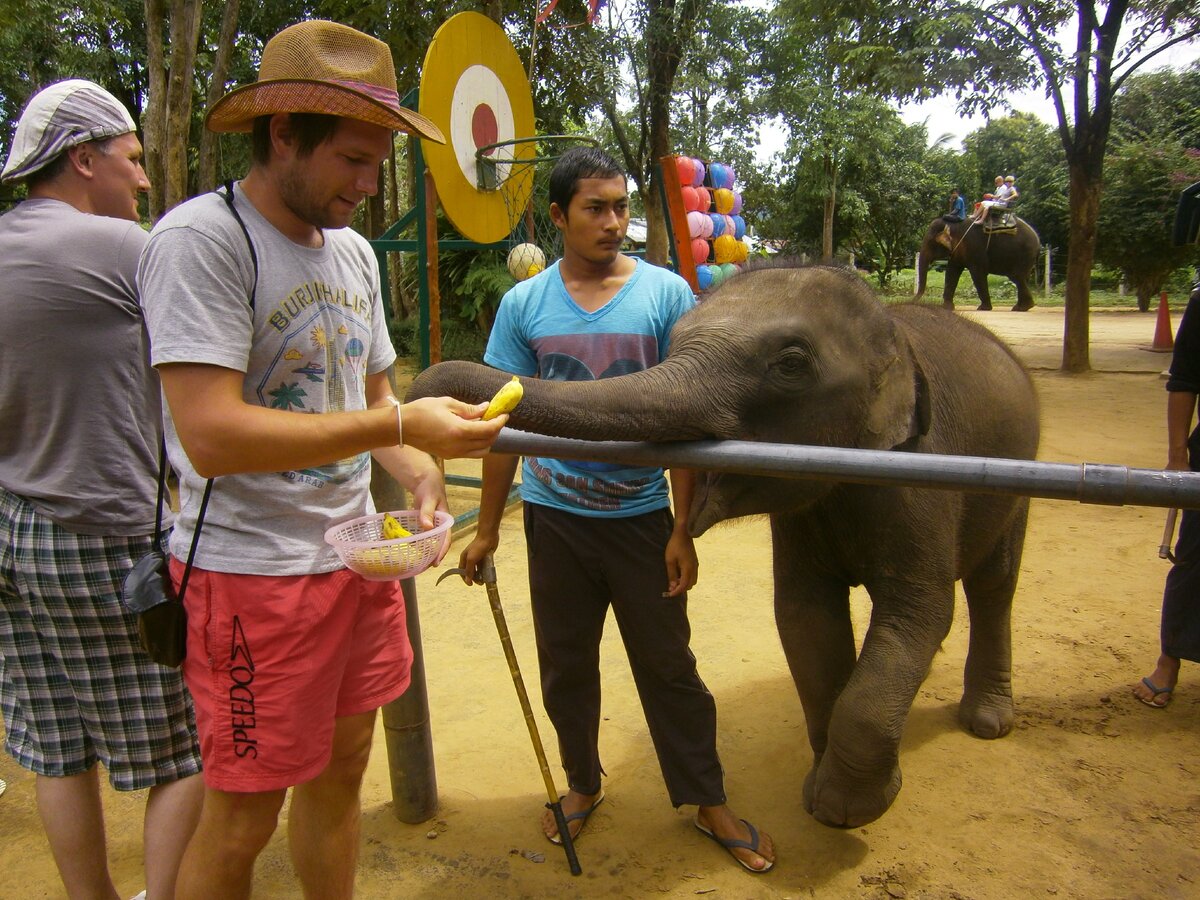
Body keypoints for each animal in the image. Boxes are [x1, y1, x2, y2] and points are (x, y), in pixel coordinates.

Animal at [412, 266, 1041, 830]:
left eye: (791, 363)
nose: (423, 397)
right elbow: (805, 620)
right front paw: (821, 791)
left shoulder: (920, 479)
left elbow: (919, 615)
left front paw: (848, 810)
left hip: (1019, 473)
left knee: (994, 584)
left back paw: (987, 722)